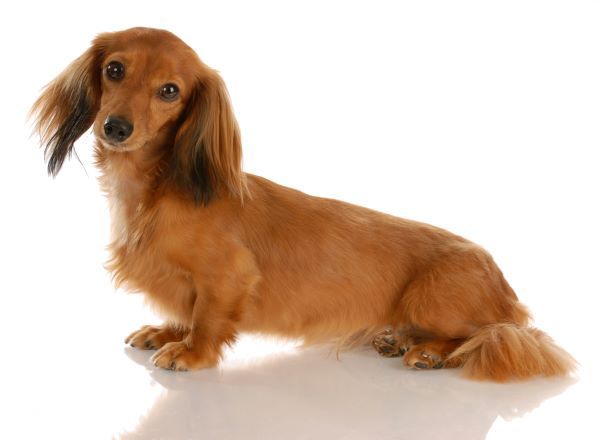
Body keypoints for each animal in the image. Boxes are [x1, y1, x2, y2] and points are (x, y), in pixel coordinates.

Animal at [30, 27, 576, 380]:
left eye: (170, 91)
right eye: (114, 69)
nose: (116, 128)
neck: (155, 191)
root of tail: (505, 288)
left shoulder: (228, 277)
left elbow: (207, 317)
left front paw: (191, 352)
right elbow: (186, 308)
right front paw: (166, 332)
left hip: (437, 301)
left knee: (486, 334)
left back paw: (428, 352)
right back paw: (400, 339)